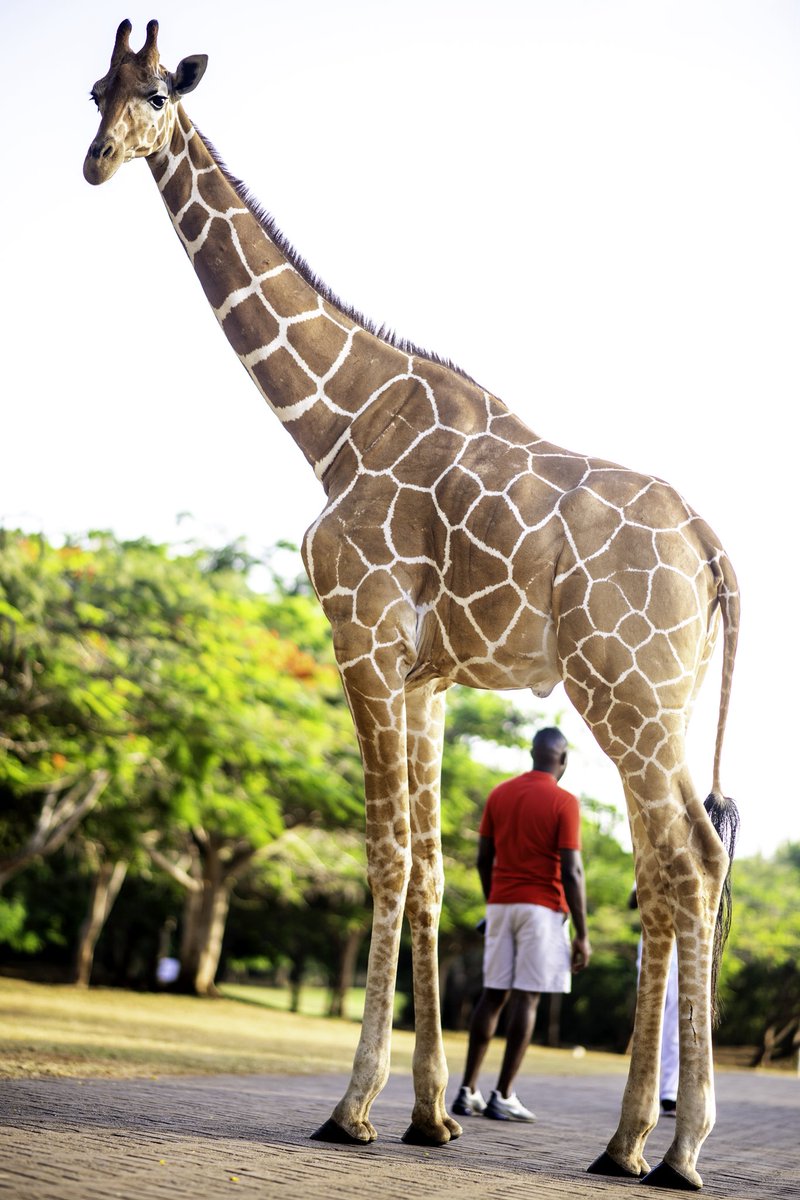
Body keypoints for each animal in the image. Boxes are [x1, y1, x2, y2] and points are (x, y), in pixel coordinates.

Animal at [84, 21, 740, 1190]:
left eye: (157, 92)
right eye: (93, 91)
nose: (98, 159)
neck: (332, 422)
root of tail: (711, 552)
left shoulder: (360, 636)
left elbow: (385, 856)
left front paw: (351, 1111)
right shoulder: (428, 672)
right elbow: (434, 872)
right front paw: (431, 1116)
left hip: (624, 686)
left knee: (691, 861)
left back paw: (678, 1149)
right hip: (647, 695)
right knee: (668, 869)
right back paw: (626, 1142)